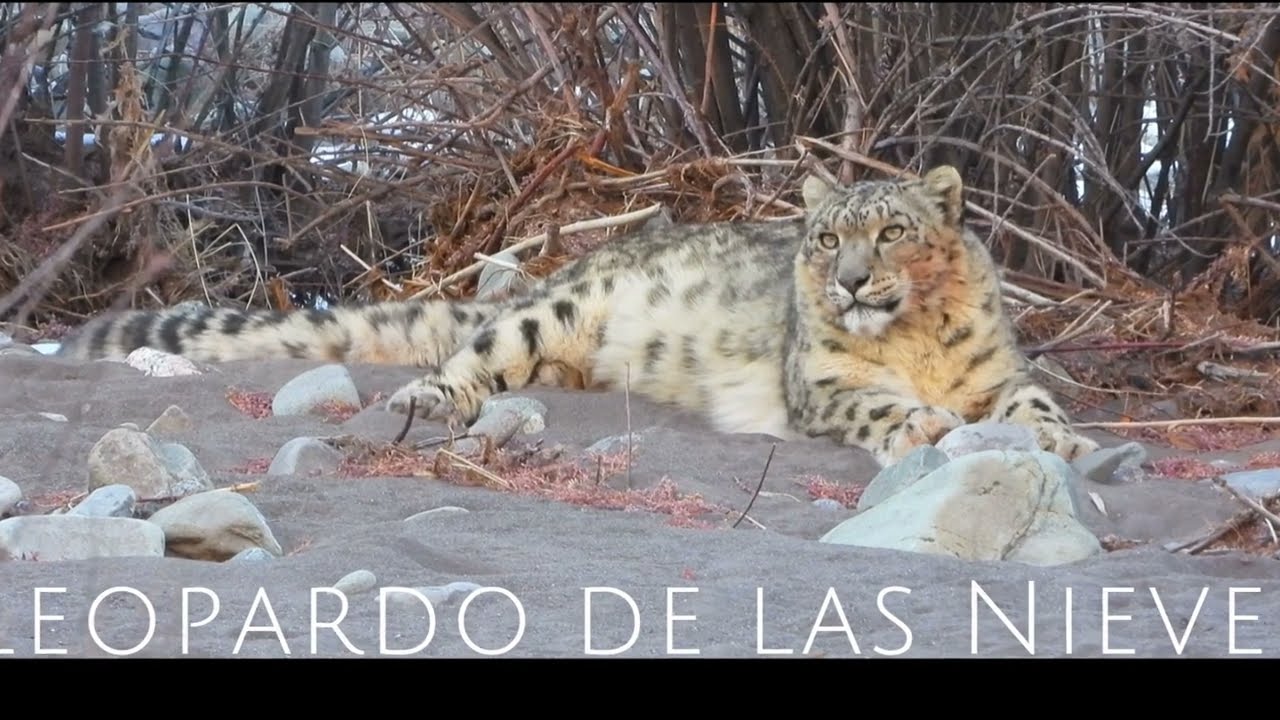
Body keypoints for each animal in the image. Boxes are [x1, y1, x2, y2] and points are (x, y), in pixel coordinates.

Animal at [55, 164, 1100, 467]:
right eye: (823, 239)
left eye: (890, 232)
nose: (847, 283)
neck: (913, 344)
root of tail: (591, 252)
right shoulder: (823, 386)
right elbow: (875, 404)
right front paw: (918, 423)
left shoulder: (1000, 374)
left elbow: (1035, 402)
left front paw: (1066, 441)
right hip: (550, 314)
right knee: (466, 356)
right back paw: (435, 405)